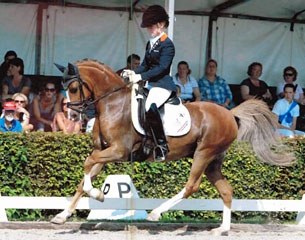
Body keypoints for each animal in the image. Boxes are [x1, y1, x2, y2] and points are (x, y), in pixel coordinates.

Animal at [51, 59, 294, 233]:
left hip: (204, 153)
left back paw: (155, 213)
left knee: (191, 186)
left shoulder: (119, 151)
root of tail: (230, 113)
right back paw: (222, 229)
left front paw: (98, 194)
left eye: (74, 87)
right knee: (226, 190)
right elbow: (84, 176)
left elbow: (87, 164)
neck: (112, 104)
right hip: (213, 160)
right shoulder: (103, 151)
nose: (72, 116)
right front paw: (62, 216)